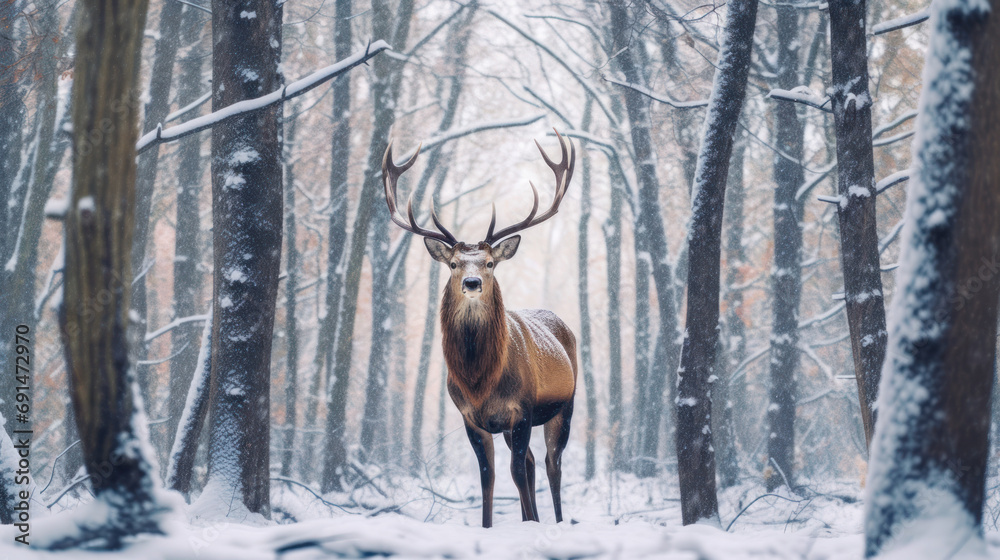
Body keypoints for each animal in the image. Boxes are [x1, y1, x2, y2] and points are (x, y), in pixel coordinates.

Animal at [381, 130, 578, 528]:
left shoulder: (522, 409)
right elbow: (488, 475)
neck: (480, 381)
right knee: (533, 463)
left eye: (489, 263)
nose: (471, 282)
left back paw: (556, 520)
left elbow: (515, 472)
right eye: (454, 263)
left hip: (565, 405)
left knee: (551, 464)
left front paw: (530, 525)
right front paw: (491, 526)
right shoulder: (471, 417)